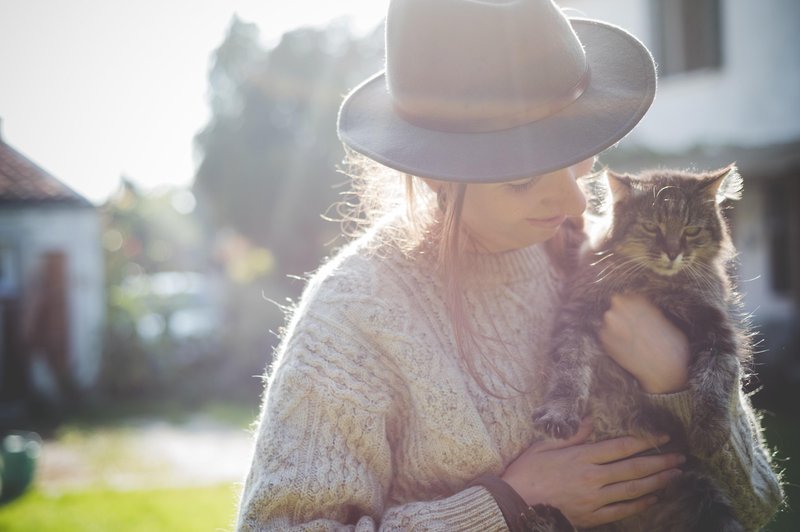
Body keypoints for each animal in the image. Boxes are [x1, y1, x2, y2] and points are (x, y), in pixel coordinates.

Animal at [532, 164, 752, 528]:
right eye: (652, 227)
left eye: (691, 230)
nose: (673, 252)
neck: (653, 282)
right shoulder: (577, 316)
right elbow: (569, 372)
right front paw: (559, 414)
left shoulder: (716, 331)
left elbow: (714, 380)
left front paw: (709, 431)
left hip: (705, 497)